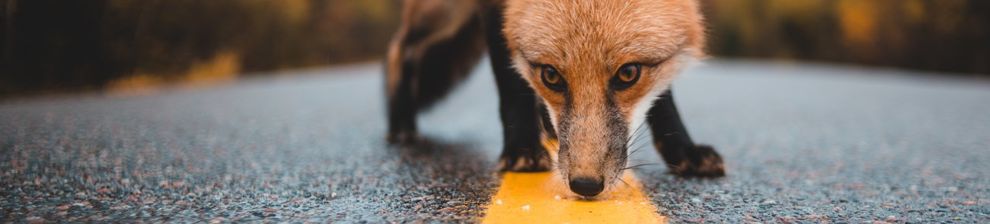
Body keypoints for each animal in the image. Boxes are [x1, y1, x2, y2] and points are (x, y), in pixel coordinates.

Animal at [384, 0, 724, 198]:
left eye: (628, 73)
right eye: (551, 76)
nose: (586, 185)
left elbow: (663, 97)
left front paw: (683, 150)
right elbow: (511, 81)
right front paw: (521, 149)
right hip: (441, 11)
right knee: (402, 48)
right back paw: (401, 124)